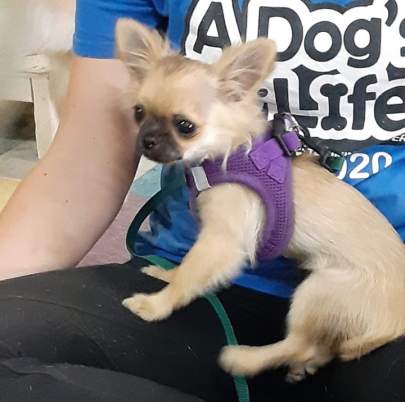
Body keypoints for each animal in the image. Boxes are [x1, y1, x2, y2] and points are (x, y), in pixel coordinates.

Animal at [115, 18, 404, 382]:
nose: (147, 141)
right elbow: (186, 268)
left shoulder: (221, 242)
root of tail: (395, 323)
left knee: (300, 342)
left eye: (185, 126)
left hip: (320, 290)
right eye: (138, 112)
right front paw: (165, 274)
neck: (227, 154)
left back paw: (245, 359)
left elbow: (190, 274)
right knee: (319, 346)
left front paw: (156, 305)